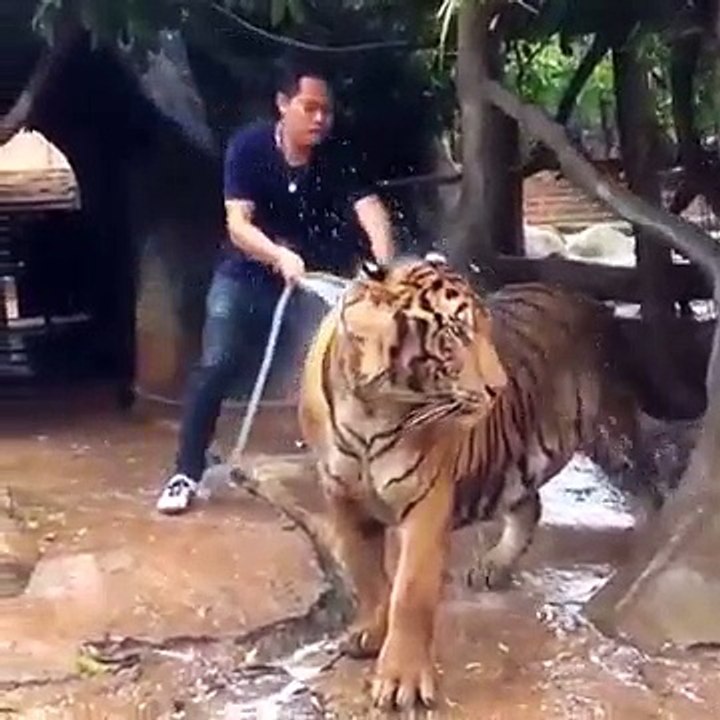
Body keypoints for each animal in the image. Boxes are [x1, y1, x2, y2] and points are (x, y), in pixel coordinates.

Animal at [297, 252, 638, 712]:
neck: (371, 407)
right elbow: (367, 575)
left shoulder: (426, 500)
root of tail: (582, 296)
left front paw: (402, 681)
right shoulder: (343, 497)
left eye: (484, 330)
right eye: (456, 333)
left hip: (615, 431)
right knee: (529, 504)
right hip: (517, 456)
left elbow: (411, 591)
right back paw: (494, 565)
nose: (499, 387)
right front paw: (371, 631)